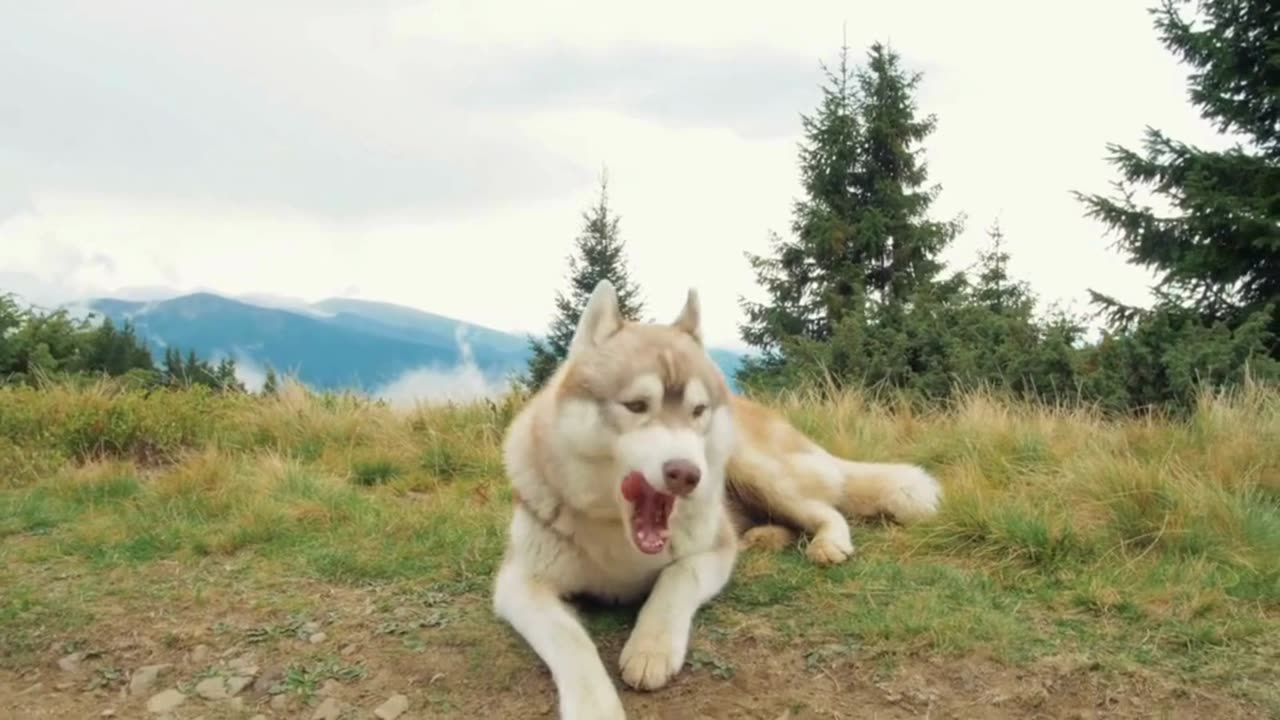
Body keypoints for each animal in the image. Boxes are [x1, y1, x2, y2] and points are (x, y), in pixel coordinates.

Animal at [491, 279, 942, 717]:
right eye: (636, 405)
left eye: (698, 410)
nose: (687, 474)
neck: (618, 536)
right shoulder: (519, 583)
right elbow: (570, 640)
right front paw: (594, 705)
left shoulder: (712, 551)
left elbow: (675, 579)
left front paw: (651, 646)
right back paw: (764, 537)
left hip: (754, 469)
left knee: (826, 509)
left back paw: (828, 542)